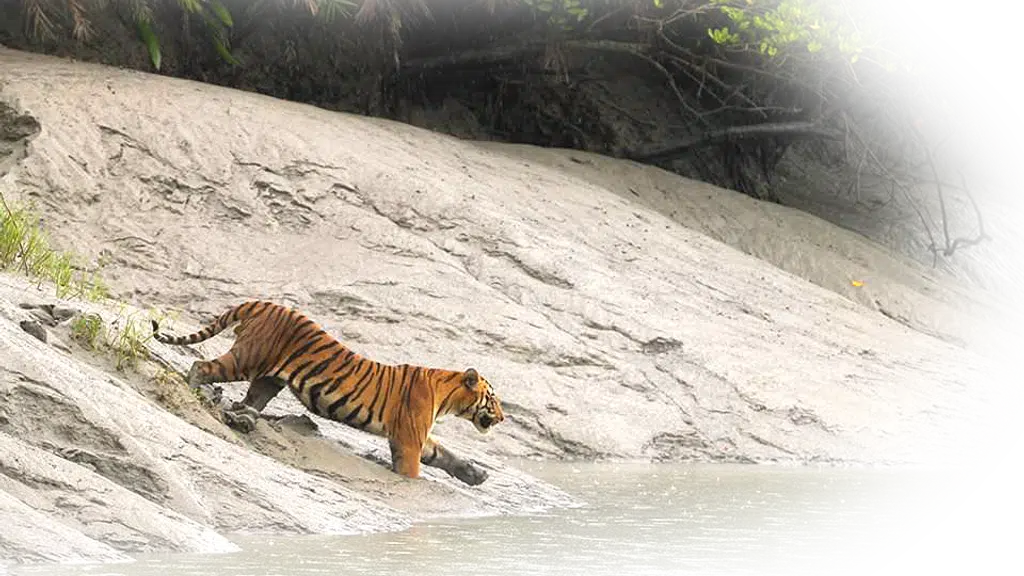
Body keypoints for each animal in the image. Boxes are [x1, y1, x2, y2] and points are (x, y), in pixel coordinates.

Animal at [150, 300, 504, 486]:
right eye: (493, 399)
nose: (503, 418)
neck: (446, 396)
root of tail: (263, 303)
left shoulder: (418, 437)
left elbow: (445, 454)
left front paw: (475, 473)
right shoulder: (408, 440)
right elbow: (414, 470)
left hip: (268, 380)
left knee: (248, 402)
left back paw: (241, 419)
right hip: (246, 359)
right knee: (202, 365)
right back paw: (192, 392)